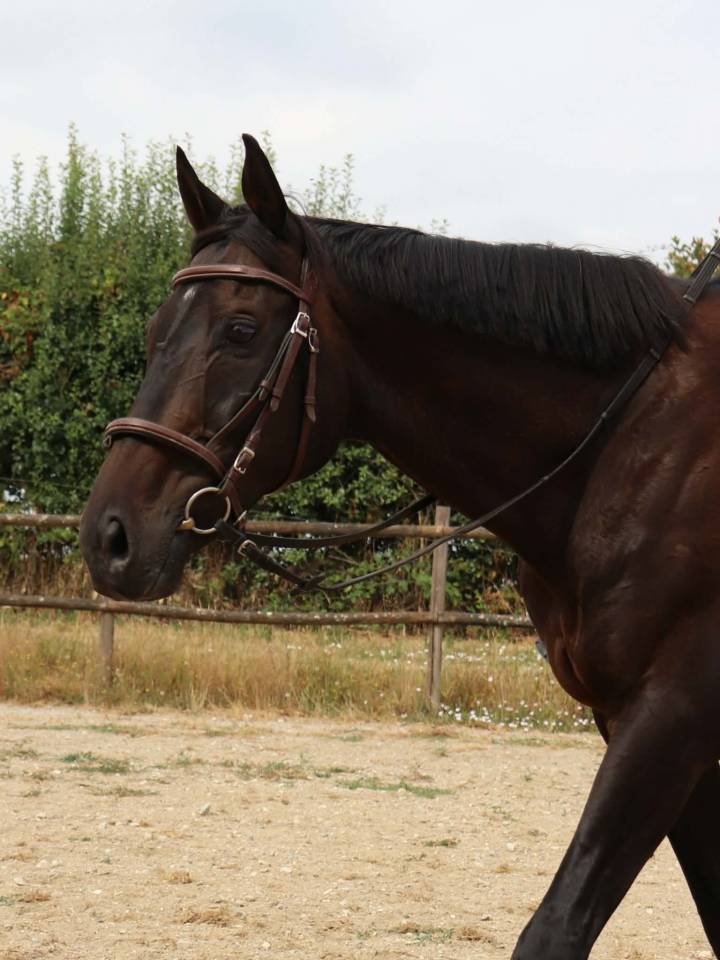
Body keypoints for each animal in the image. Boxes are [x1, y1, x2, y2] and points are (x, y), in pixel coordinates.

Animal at [80, 134, 720, 959]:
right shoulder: (643, 723)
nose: (111, 535)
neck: (635, 440)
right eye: (155, 330)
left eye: (242, 331)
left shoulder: (673, 712)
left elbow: (555, 928)